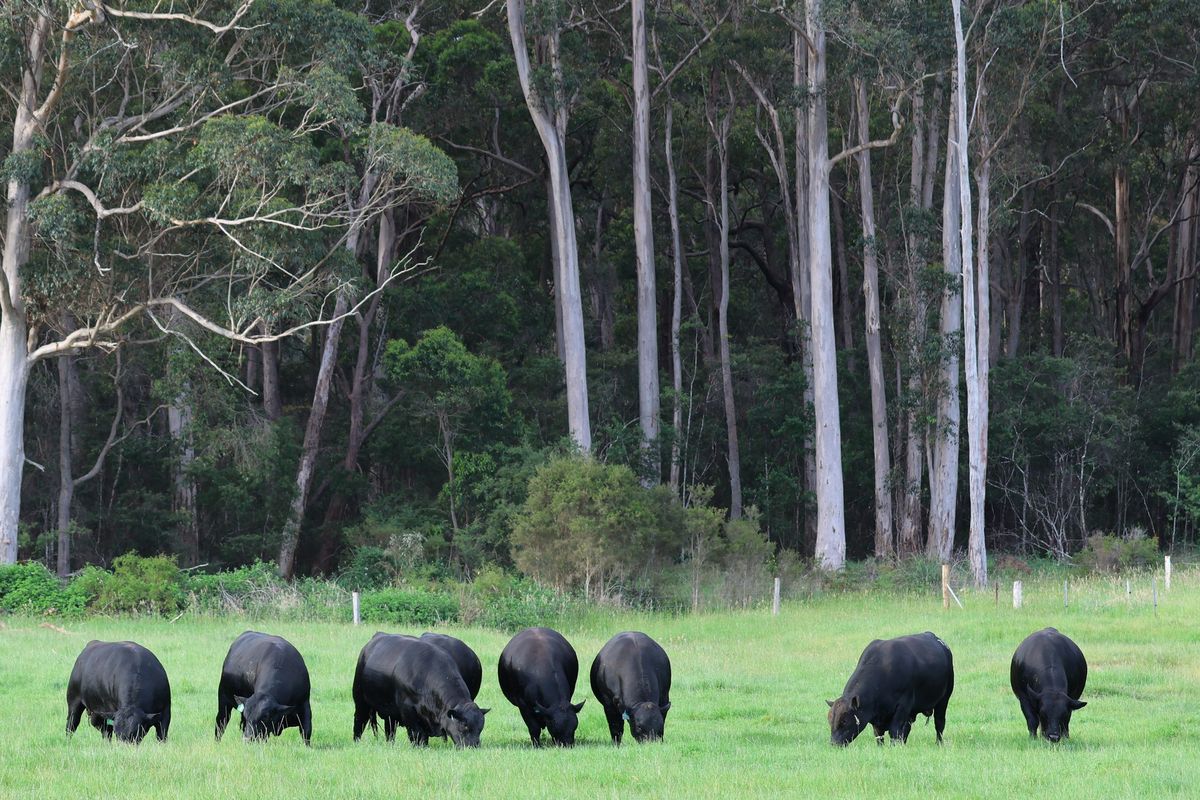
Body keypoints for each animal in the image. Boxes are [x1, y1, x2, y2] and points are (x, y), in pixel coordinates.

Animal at [350, 633, 487, 753]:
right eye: (464, 726)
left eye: (480, 728)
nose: (473, 747)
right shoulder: (408, 710)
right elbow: (416, 734)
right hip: (361, 701)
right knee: (359, 722)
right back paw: (356, 742)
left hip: (390, 712)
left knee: (390, 730)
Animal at [825, 633, 955, 748]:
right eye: (830, 721)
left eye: (844, 721)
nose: (834, 744)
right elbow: (879, 734)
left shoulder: (902, 706)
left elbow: (895, 731)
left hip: (943, 700)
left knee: (939, 723)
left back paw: (939, 744)